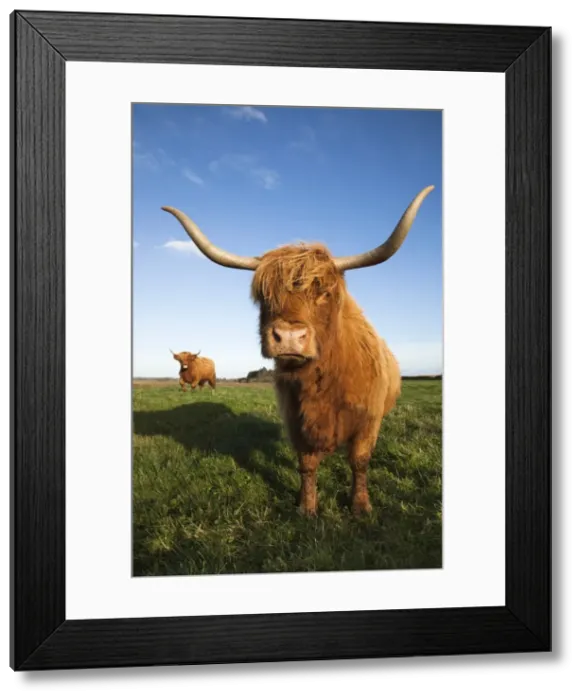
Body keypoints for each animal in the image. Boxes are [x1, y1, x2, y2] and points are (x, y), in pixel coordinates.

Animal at [162, 185, 434, 516]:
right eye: (264, 295)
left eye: (325, 293)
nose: (289, 337)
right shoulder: (296, 420)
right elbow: (306, 465)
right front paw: (306, 508)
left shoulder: (368, 421)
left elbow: (359, 462)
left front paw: (360, 507)